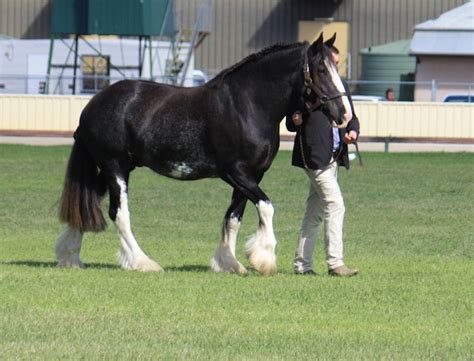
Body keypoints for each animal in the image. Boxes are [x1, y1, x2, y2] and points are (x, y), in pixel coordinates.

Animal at [55, 34, 352, 276]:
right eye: (322, 69)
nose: (344, 115)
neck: (247, 104)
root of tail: (92, 106)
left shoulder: (252, 175)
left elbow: (233, 218)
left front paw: (229, 263)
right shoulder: (235, 172)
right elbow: (266, 207)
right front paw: (263, 259)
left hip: (114, 169)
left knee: (87, 201)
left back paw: (69, 256)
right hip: (115, 168)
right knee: (118, 213)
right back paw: (143, 263)